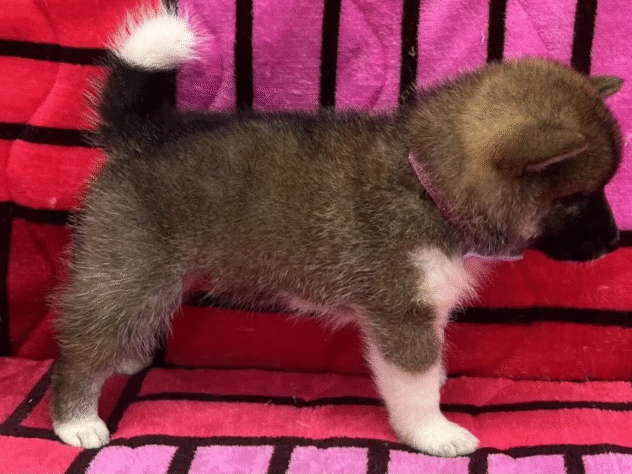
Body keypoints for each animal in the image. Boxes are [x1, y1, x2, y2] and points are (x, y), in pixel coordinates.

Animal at [50, 7, 623, 457]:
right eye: (575, 199)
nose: (614, 242)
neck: (426, 184)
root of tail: (142, 133)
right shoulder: (401, 312)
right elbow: (414, 383)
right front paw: (433, 431)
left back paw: (124, 359)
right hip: (129, 265)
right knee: (81, 343)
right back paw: (76, 419)